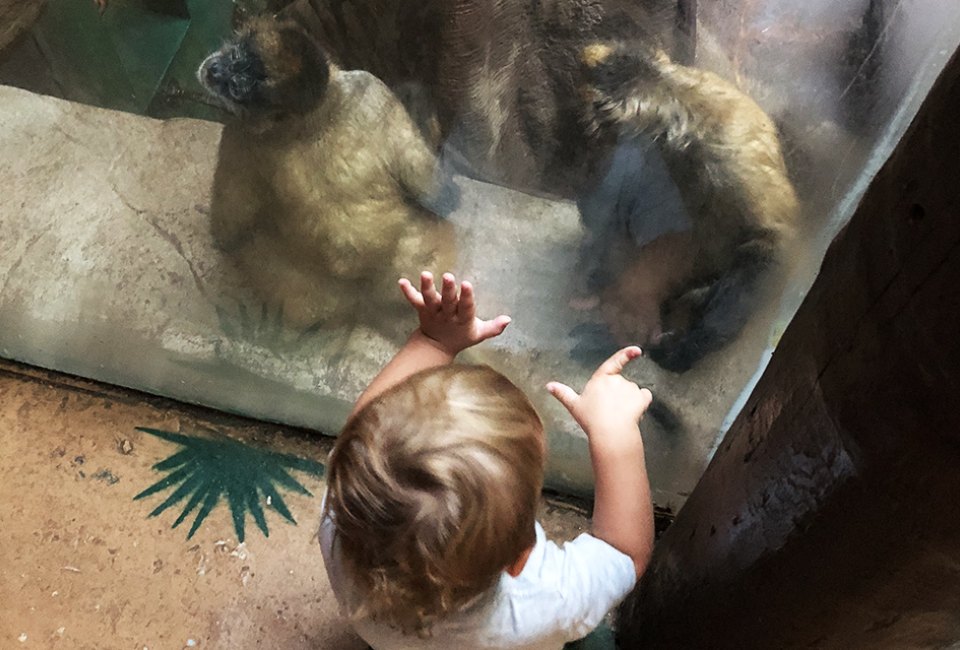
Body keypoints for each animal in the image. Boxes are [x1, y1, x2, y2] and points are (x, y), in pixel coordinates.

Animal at [198, 17, 458, 334]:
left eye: (236, 88)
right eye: (235, 56)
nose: (214, 70)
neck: (318, 114)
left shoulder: (240, 132)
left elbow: (226, 233)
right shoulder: (370, 90)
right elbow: (441, 196)